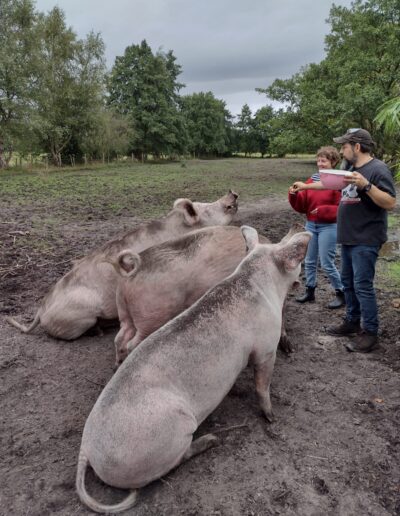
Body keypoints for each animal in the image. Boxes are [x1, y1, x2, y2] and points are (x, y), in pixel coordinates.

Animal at [111, 224, 296, 364]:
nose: (291, 350)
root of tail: (131, 272)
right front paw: (289, 348)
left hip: (126, 313)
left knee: (120, 337)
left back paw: (117, 364)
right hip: (151, 317)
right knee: (131, 343)